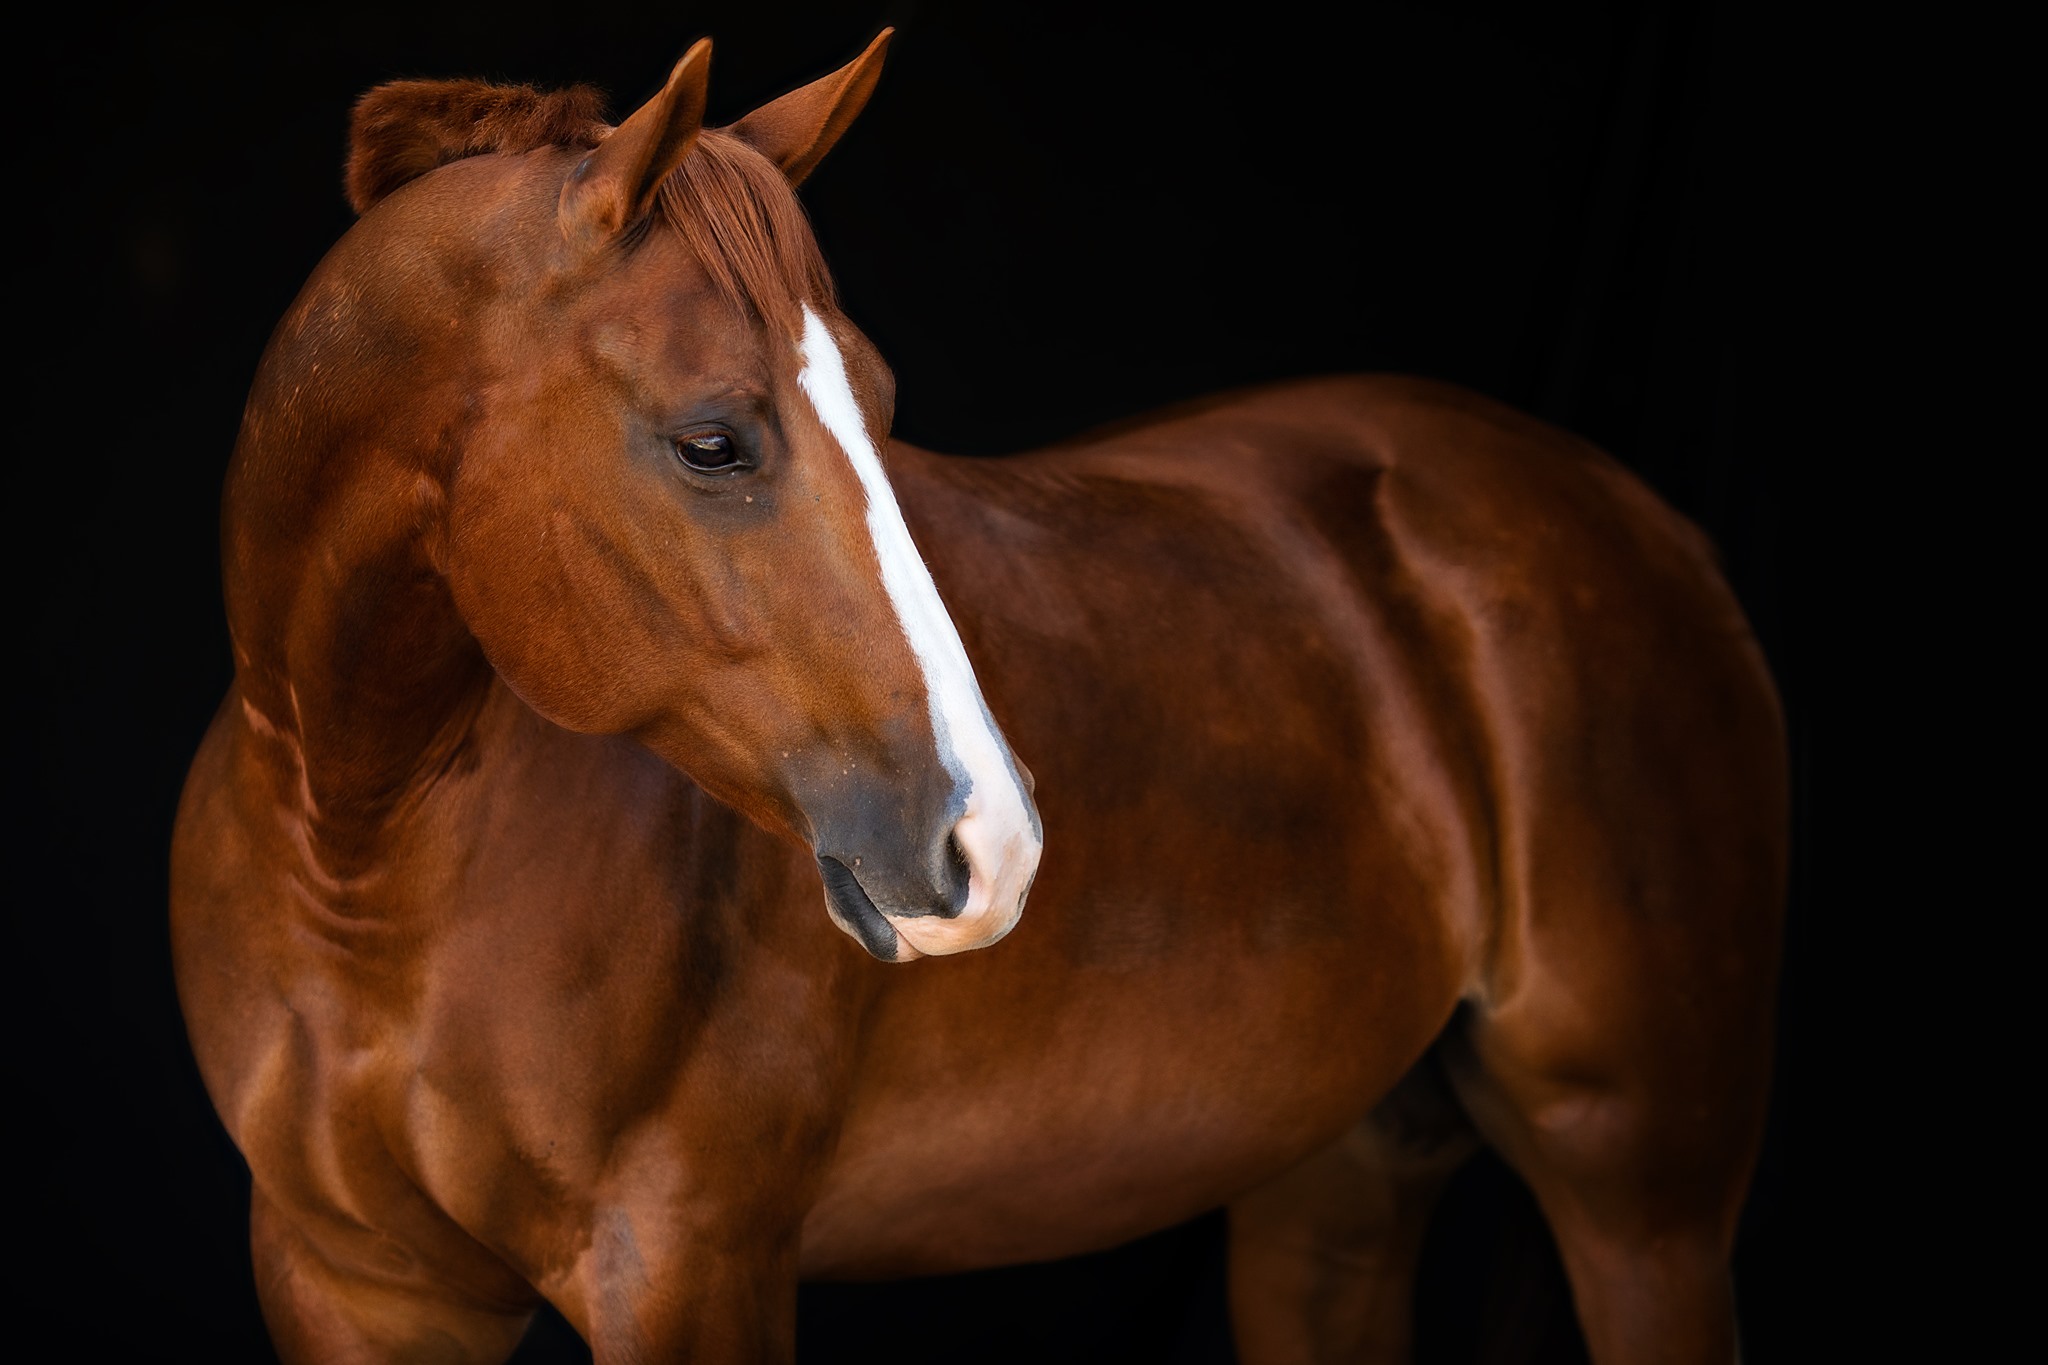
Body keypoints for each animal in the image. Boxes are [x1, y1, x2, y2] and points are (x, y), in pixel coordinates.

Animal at [171, 29, 1785, 1365]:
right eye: (711, 440)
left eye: (883, 407)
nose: (989, 843)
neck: (361, 860)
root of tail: (1643, 524)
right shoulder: (350, 1286)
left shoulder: (686, 1273)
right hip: (1334, 1189)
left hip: (1641, 1201)